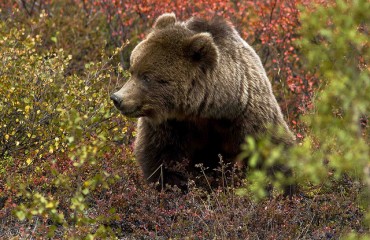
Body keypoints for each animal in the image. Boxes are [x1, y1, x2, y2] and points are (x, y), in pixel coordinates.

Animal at [111, 13, 296, 193]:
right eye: (133, 70)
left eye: (147, 77)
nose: (117, 98)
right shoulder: (170, 125)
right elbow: (161, 159)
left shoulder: (247, 118)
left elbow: (274, 156)